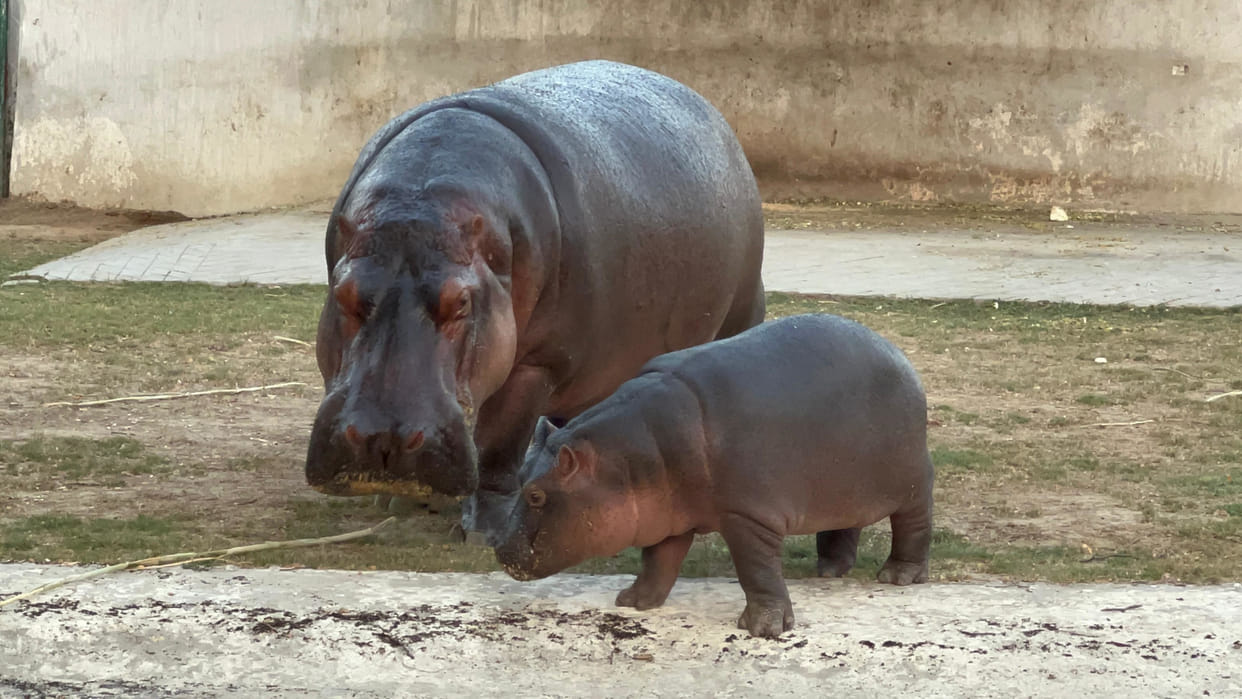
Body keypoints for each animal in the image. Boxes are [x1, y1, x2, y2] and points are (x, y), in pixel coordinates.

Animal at [305, 60, 766, 543]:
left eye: (461, 303)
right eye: (343, 294)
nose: (382, 439)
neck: (422, 199)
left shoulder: (537, 362)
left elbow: (499, 442)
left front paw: (485, 531)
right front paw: (402, 503)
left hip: (740, 314)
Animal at [495, 314, 934, 638]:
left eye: (536, 495)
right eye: (520, 475)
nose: (498, 549)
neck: (621, 459)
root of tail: (896, 352)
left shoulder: (749, 516)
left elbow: (757, 570)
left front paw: (763, 629)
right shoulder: (667, 516)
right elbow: (659, 560)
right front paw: (634, 601)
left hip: (910, 480)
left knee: (914, 522)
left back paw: (898, 576)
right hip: (839, 484)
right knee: (844, 523)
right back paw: (827, 570)